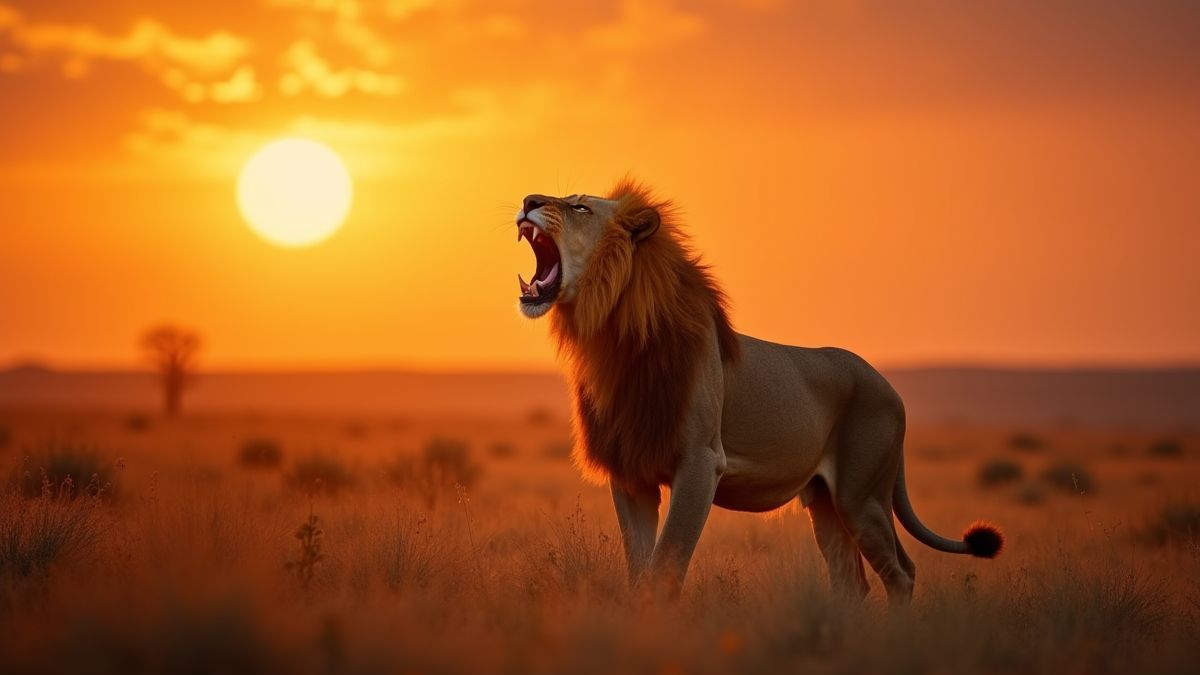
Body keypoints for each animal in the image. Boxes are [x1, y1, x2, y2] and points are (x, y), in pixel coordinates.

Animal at [513, 178, 1002, 602]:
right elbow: (640, 570)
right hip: (826, 502)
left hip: (862, 495)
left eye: (580, 207)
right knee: (853, 581)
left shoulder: (701, 462)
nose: (528, 199)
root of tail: (886, 384)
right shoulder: (632, 472)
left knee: (901, 572)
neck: (612, 338)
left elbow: (666, 565)